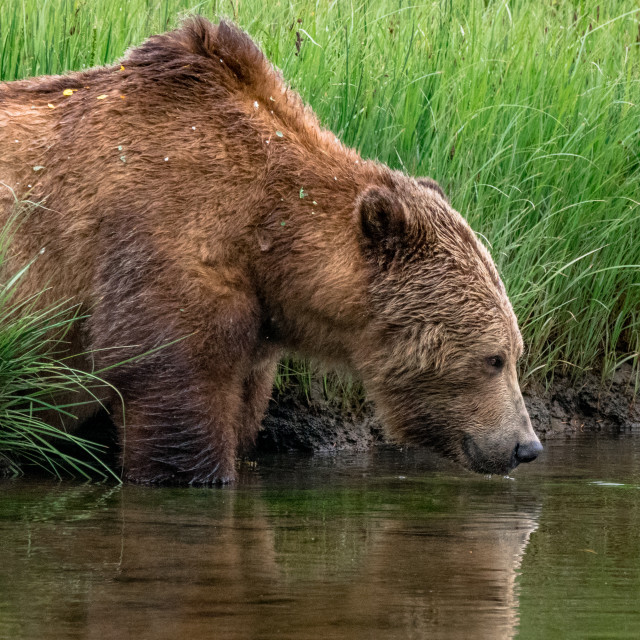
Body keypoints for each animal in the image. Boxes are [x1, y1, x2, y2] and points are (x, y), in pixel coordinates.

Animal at [0, 17, 540, 482]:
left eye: (517, 352)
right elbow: (177, 403)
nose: (527, 446)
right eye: (493, 359)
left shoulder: (259, 326)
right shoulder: (163, 243)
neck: (267, 240)